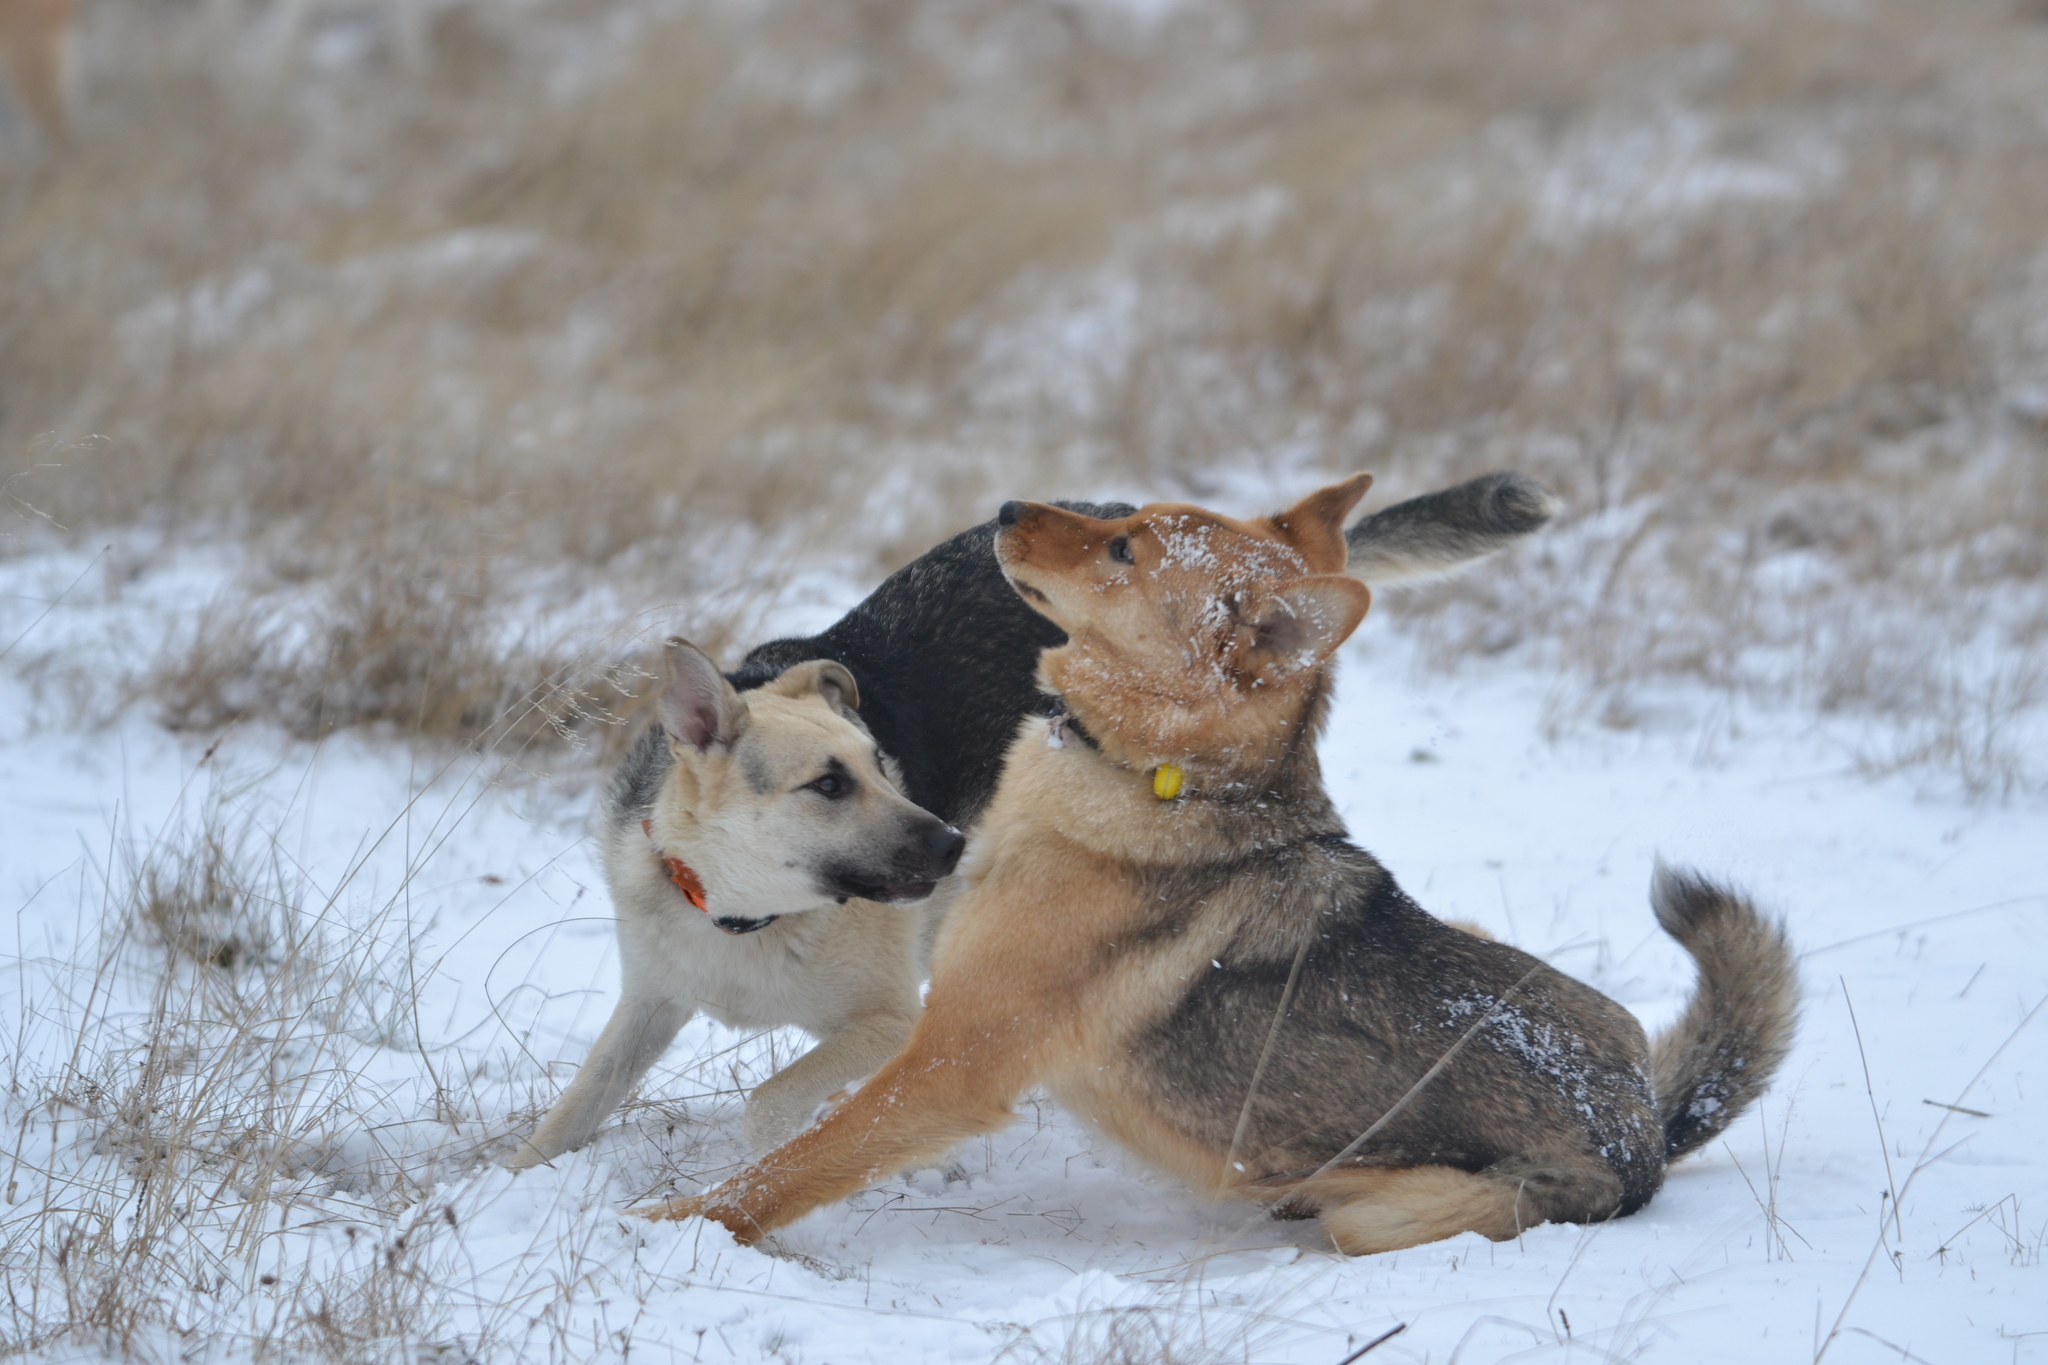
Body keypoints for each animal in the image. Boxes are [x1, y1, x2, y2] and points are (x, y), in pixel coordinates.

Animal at [634, 474, 1794, 1252]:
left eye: (1125, 552)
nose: (1005, 507)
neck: (1143, 773)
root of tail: (1645, 1124)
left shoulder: (951, 1061)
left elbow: (789, 1168)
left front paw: (667, 1224)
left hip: (1392, 1209)